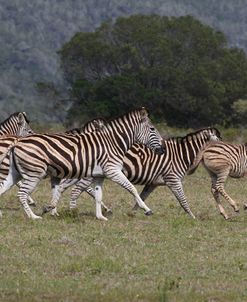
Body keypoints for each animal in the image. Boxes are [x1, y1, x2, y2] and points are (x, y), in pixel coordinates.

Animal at [0, 108, 164, 219]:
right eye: (152, 129)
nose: (162, 149)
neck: (113, 142)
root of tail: (17, 142)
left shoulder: (99, 175)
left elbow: (98, 195)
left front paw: (100, 217)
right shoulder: (112, 171)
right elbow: (132, 189)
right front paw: (146, 209)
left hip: (15, 173)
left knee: (3, 188)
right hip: (34, 173)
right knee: (21, 194)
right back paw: (33, 217)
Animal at [49, 126, 220, 218]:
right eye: (219, 142)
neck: (181, 154)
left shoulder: (153, 183)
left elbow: (141, 197)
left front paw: (135, 212)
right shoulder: (173, 179)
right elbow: (183, 200)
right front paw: (192, 216)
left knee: (63, 186)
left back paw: (55, 210)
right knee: (76, 189)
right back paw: (70, 210)